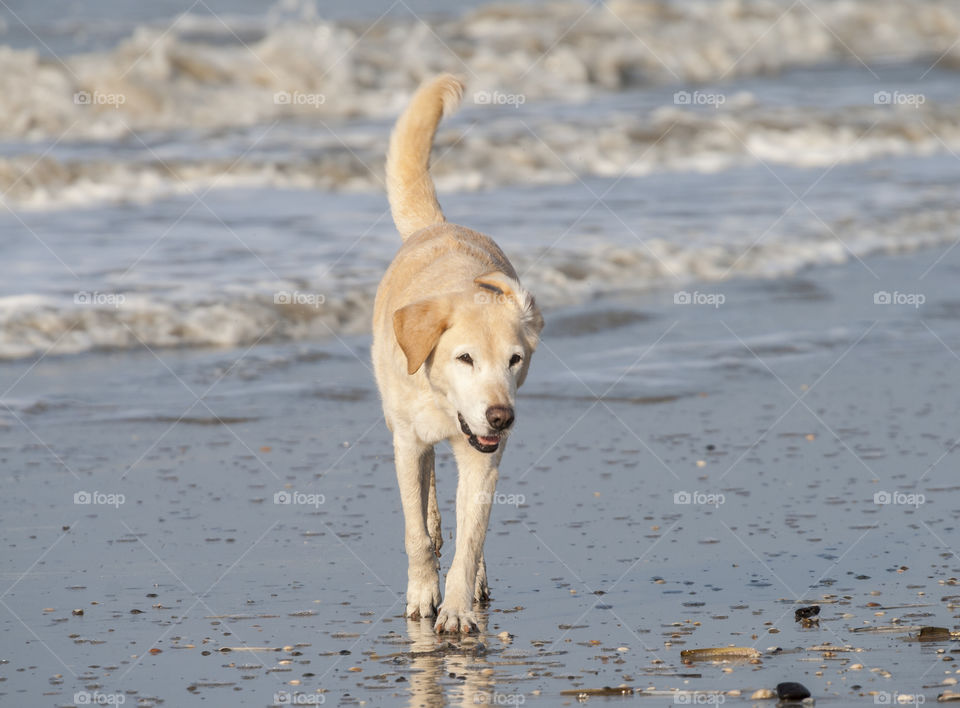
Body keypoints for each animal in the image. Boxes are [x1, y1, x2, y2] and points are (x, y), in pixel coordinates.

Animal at [374, 74, 544, 632]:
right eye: (464, 358)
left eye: (515, 360)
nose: (501, 416)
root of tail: (437, 225)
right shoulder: (407, 444)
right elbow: (415, 533)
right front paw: (423, 595)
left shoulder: (483, 458)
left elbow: (472, 539)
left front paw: (455, 608)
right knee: (428, 507)